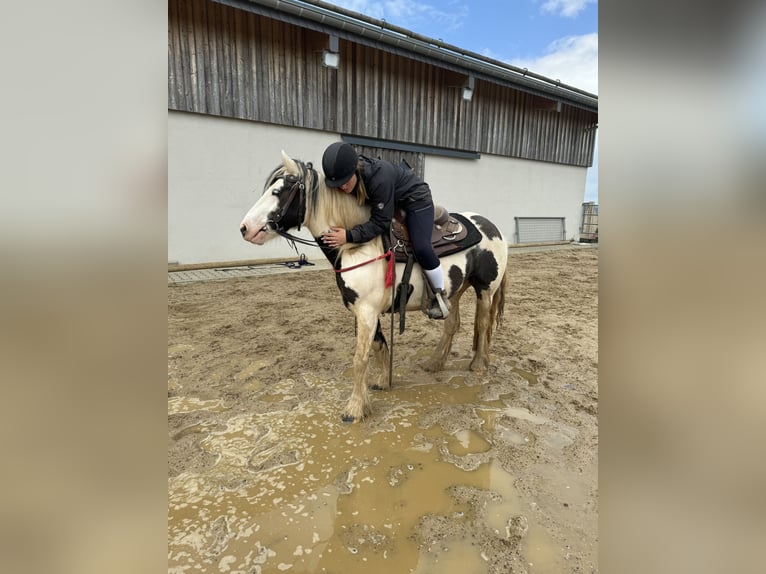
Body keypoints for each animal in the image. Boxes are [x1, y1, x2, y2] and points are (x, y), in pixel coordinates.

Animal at [237, 152, 508, 424]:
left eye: (278, 191)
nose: (245, 228)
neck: (359, 247)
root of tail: (492, 227)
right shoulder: (367, 311)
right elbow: (379, 346)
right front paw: (381, 382)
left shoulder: (367, 312)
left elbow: (360, 359)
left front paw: (354, 409)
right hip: (457, 289)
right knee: (452, 324)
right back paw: (434, 363)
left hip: (485, 289)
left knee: (483, 323)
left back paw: (478, 364)